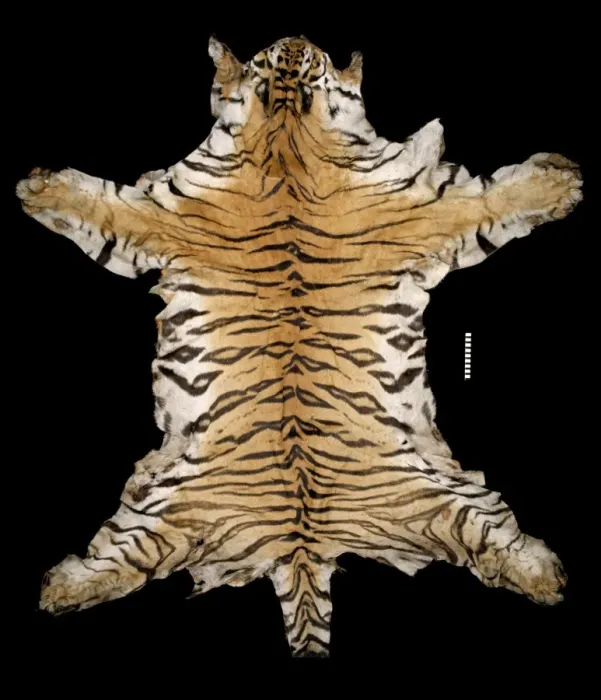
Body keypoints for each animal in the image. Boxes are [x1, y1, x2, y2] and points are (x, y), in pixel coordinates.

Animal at [16, 35, 582, 658]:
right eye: (270, 61)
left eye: (307, 64)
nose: (296, 40)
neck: (286, 142)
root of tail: (300, 552)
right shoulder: (158, 215)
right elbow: (101, 204)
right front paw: (37, 188)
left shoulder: (425, 209)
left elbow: (490, 201)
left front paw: (561, 183)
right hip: (168, 523)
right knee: (121, 563)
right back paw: (63, 588)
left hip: (443, 509)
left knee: (493, 543)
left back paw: (543, 575)